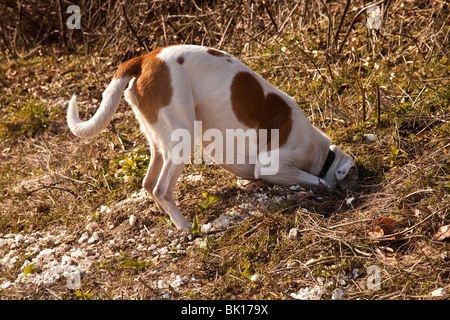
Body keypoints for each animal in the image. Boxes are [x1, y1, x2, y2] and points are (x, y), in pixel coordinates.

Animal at [67, 45, 356, 230]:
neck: (321, 152)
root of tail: (147, 58)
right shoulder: (274, 165)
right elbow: (320, 181)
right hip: (183, 139)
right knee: (161, 189)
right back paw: (184, 226)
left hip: (160, 141)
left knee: (149, 183)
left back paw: (167, 215)